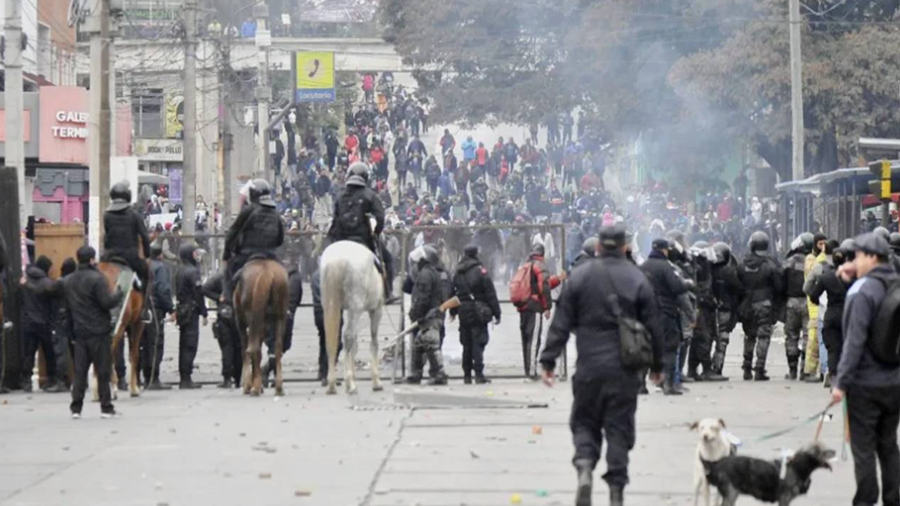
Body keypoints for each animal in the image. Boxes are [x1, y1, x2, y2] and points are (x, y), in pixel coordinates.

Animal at [97, 262, 145, 398]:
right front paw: (134, 388)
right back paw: (112, 388)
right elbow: (134, 354)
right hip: (119, 326)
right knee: (110, 352)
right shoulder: (138, 324)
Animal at [234, 258, 286, 398]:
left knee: (253, 349)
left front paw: (248, 385)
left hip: (251, 319)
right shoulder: (263, 324)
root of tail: (266, 270)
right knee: (277, 347)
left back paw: (254, 388)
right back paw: (279, 387)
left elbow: (245, 350)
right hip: (279, 317)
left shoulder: (241, 323)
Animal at [320, 239, 384, 394]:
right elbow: (373, 342)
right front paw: (376, 381)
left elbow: (354, 345)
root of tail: (337, 260)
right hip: (357, 308)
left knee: (332, 339)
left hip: (329, 305)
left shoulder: (347, 309)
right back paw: (350, 384)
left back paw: (332, 383)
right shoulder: (376, 310)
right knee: (348, 336)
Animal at [700, 440, 832, 504]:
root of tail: (716, 464)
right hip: (731, 494)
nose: (834, 451)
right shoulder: (784, 499)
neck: (798, 467)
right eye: (822, 451)